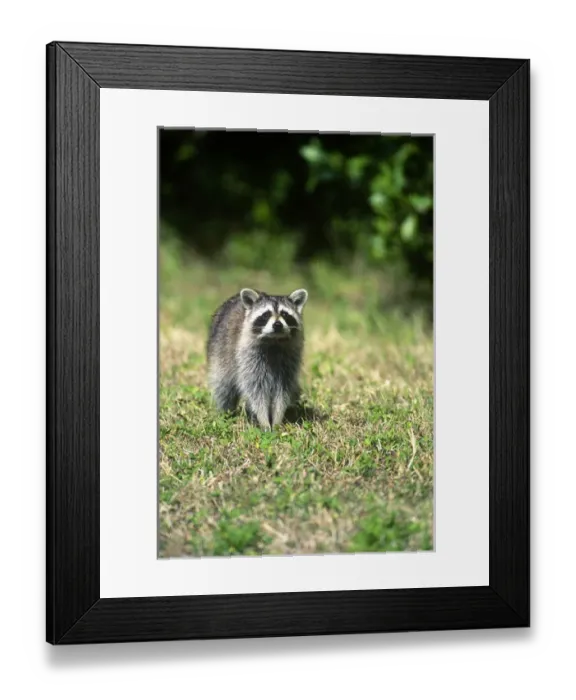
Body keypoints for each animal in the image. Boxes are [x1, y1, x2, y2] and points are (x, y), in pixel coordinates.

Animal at [207, 287, 308, 430]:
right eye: (266, 315)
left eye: (285, 314)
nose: (277, 324)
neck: (273, 342)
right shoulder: (247, 357)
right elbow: (256, 390)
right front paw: (264, 419)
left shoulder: (290, 359)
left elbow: (282, 391)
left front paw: (277, 419)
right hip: (219, 352)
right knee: (223, 386)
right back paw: (226, 413)